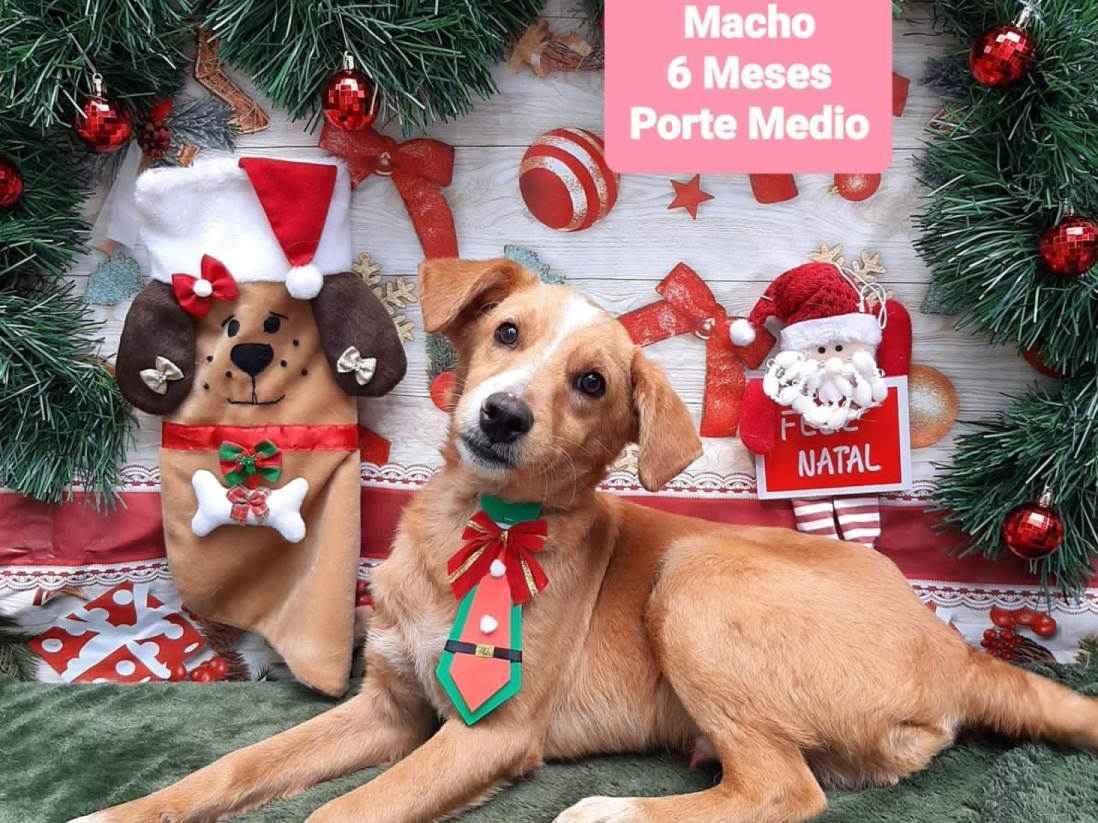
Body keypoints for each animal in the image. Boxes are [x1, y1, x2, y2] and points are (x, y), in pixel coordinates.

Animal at [84, 257, 1098, 823]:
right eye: (504, 333)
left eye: (593, 383)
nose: (502, 413)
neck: (478, 527)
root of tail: (950, 645)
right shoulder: (391, 709)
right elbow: (236, 765)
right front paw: (126, 812)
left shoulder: (489, 733)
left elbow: (344, 811)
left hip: (694, 579)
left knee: (783, 789)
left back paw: (612, 809)